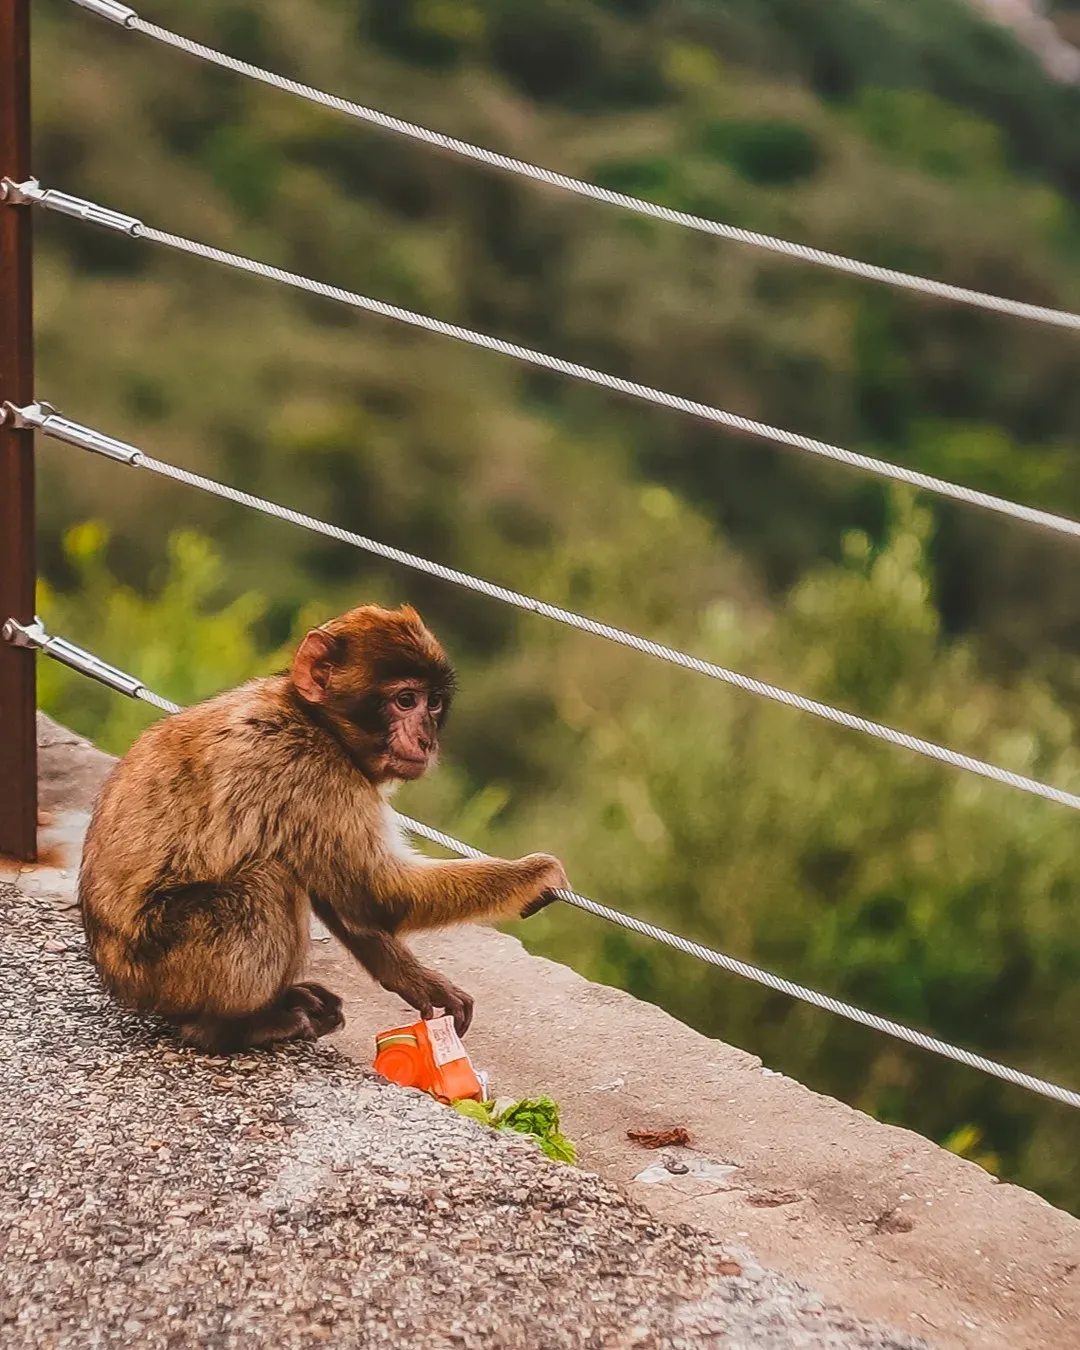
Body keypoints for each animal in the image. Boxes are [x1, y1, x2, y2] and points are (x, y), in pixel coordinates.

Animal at [78, 603, 569, 1053]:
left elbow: (346, 898)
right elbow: (377, 893)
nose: (426, 739)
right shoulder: (313, 772)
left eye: (433, 702)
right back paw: (229, 1028)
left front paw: (416, 982)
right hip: (170, 964)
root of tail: (117, 979)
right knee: (267, 880)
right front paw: (532, 875)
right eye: (404, 700)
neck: (316, 720)